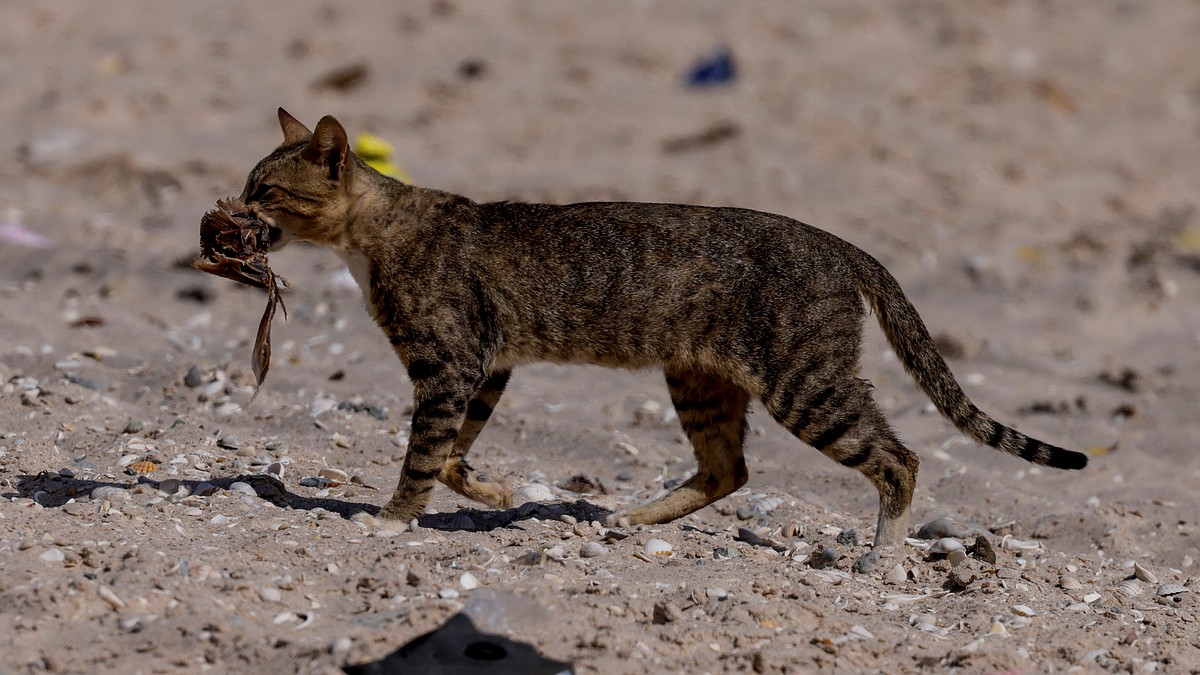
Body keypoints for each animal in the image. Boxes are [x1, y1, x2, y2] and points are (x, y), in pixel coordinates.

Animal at [226, 107, 1089, 542]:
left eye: (266, 191)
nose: (231, 209)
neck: (374, 235)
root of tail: (842, 244)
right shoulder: (488, 366)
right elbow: (453, 454)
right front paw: (491, 487)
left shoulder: (451, 364)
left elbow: (422, 456)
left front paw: (391, 521)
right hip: (702, 379)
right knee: (728, 469)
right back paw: (631, 517)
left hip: (805, 383)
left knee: (899, 458)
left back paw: (882, 559)